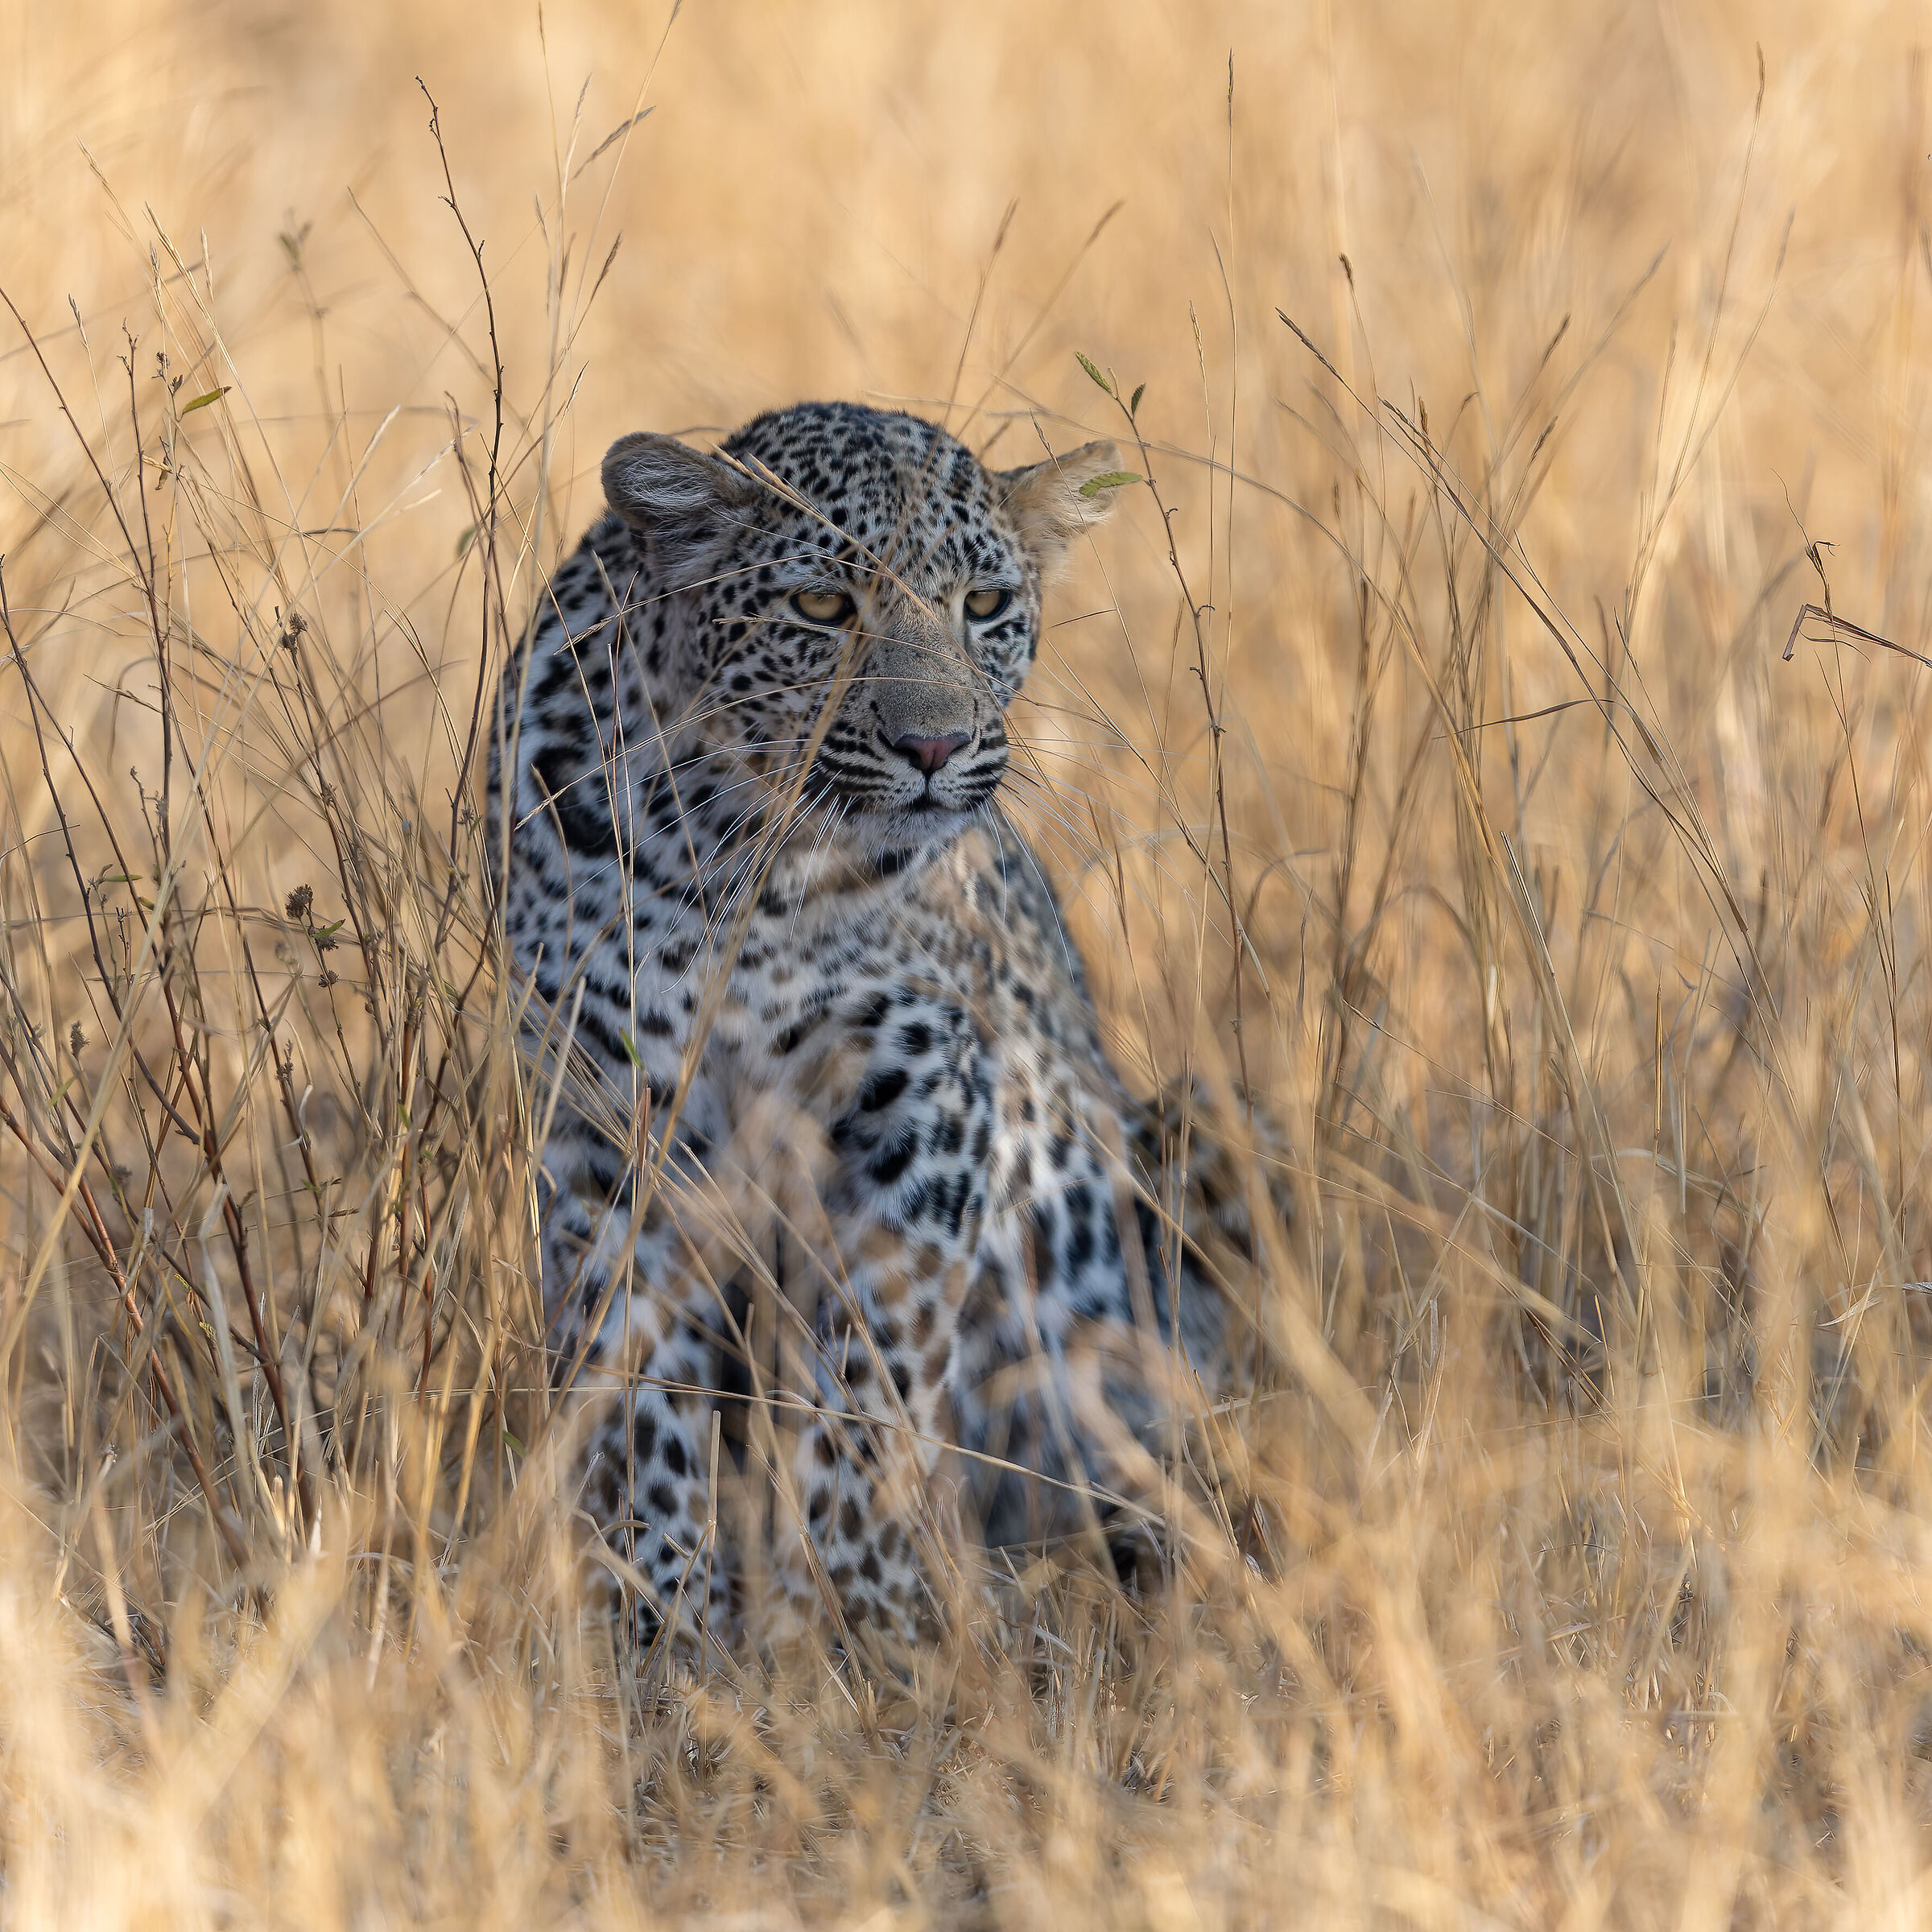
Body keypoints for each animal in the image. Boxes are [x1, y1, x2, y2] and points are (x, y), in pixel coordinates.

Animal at [490, 399, 1280, 1656]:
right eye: (823, 609)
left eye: (985, 605)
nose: (934, 749)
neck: (745, 864)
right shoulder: (612, 1123)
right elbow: (638, 1389)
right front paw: (660, 1621)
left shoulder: (926, 1089)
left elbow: (872, 1372)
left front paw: (868, 1618)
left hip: (1206, 1130)